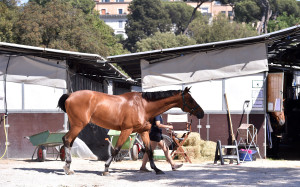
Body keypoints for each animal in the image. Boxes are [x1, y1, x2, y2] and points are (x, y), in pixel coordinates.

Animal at [57, 87, 204, 175]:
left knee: (69, 142)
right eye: (190, 99)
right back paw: (67, 168)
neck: (143, 105)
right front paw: (106, 169)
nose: (201, 113)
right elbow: (116, 149)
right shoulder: (127, 130)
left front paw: (156, 169)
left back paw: (68, 167)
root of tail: (70, 95)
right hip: (78, 125)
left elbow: (149, 150)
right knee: (67, 139)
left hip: (75, 125)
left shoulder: (143, 131)